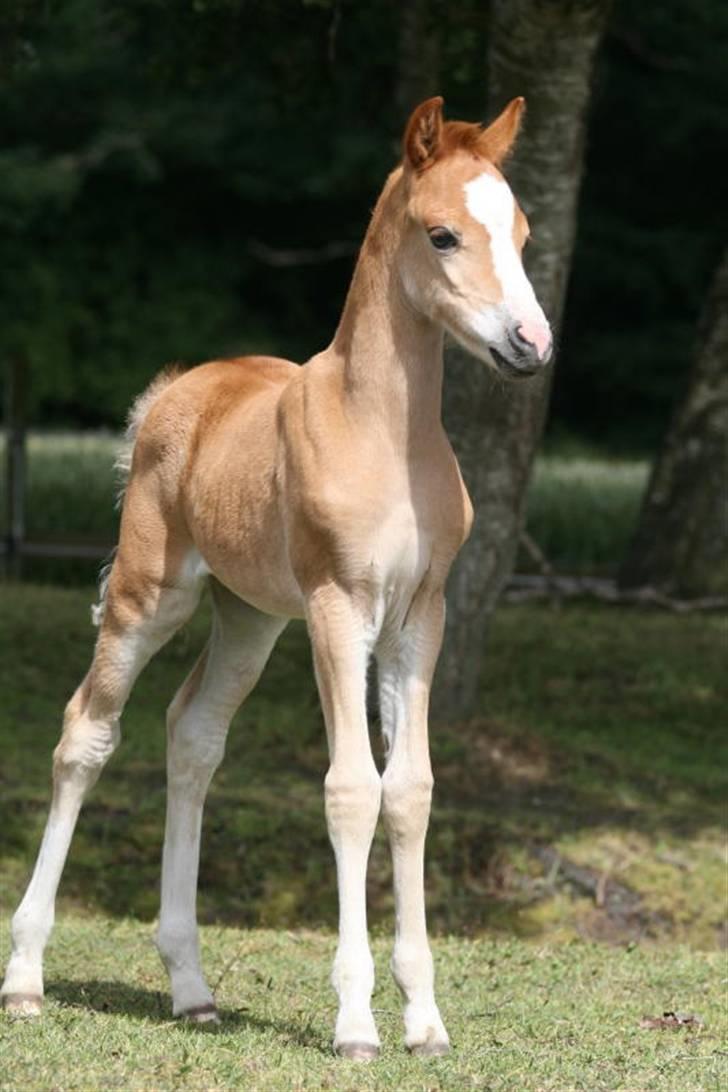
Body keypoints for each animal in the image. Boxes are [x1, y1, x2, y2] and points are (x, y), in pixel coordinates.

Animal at [1, 100, 552, 1057]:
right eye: (442, 234)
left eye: (520, 232)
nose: (531, 343)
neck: (385, 431)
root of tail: (170, 394)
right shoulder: (339, 608)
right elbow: (350, 789)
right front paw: (357, 1022)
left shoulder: (420, 617)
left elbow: (410, 791)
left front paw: (426, 1021)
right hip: (152, 597)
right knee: (86, 736)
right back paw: (26, 976)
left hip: (249, 618)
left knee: (193, 735)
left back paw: (191, 988)